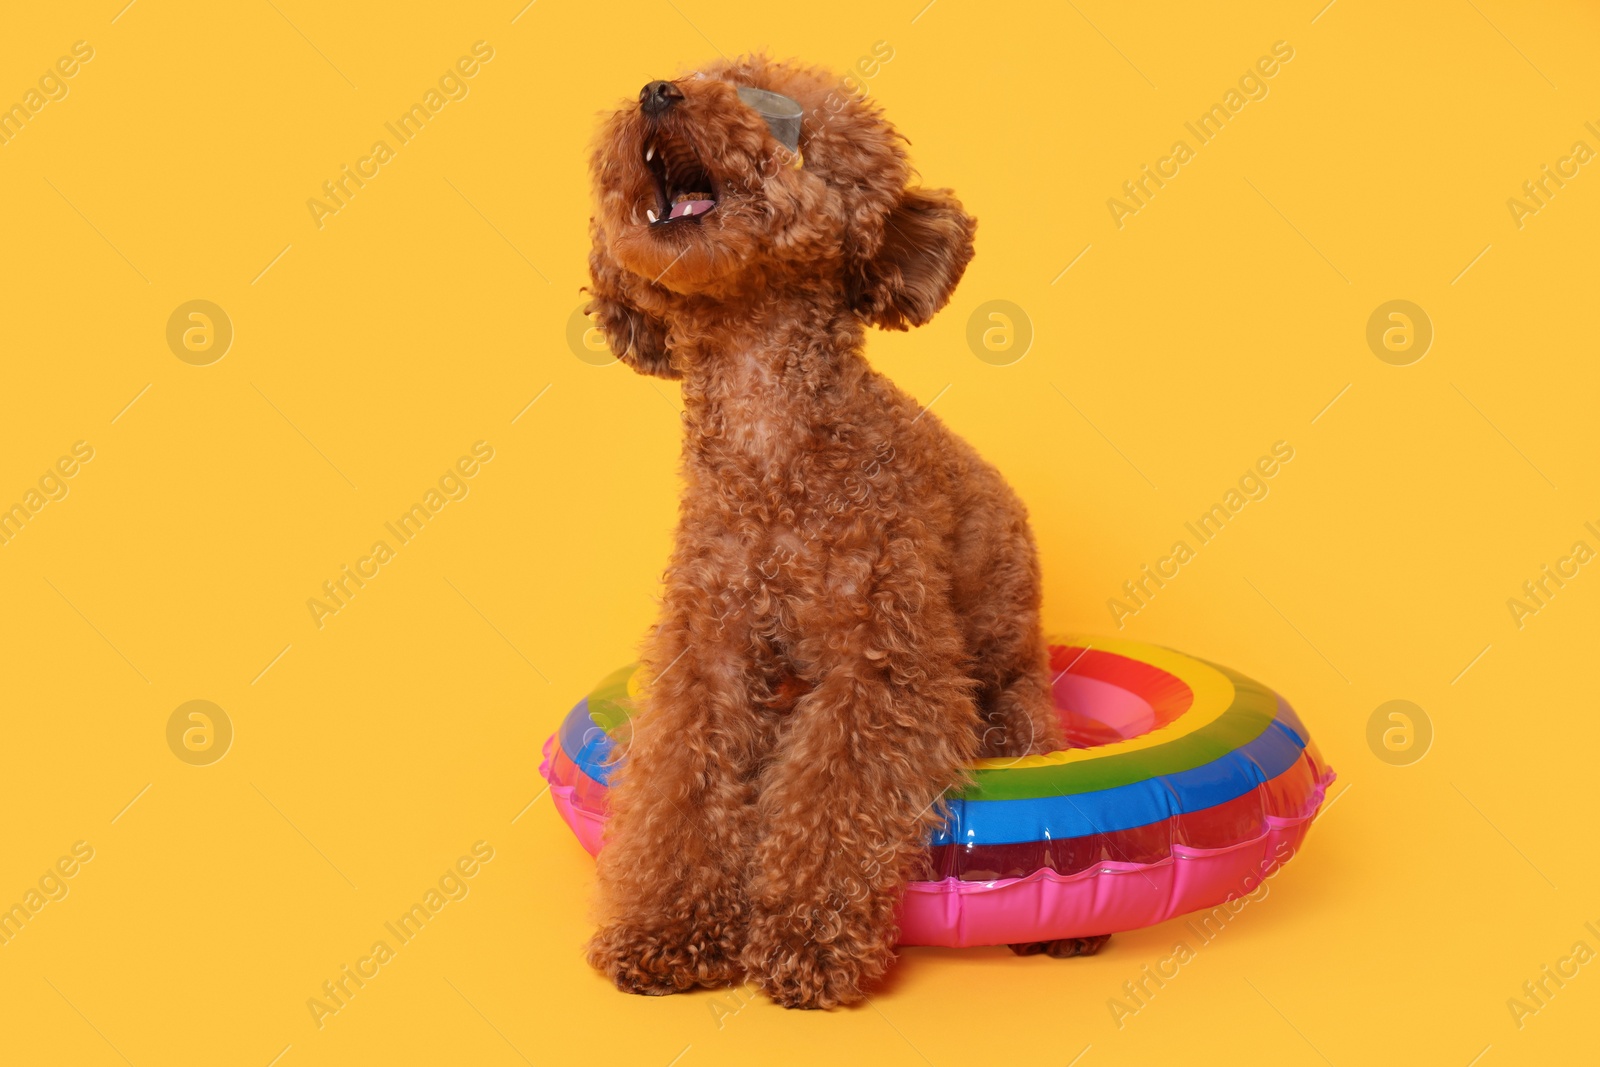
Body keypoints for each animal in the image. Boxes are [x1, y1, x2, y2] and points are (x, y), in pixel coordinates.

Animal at [582, 56, 1068, 1011]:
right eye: (692, 78)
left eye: (774, 114)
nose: (659, 93)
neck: (771, 437)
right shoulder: (706, 655)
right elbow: (680, 788)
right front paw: (669, 930)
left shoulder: (880, 666)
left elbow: (834, 795)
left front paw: (806, 941)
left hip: (1017, 691)